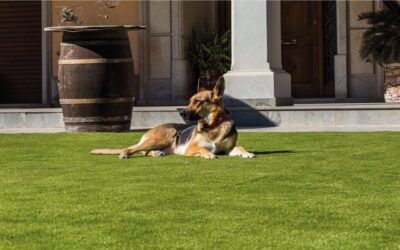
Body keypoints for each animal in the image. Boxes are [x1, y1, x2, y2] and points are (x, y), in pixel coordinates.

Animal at [89, 76, 255, 159]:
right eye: (189, 100)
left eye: (197, 101)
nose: (181, 112)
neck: (213, 125)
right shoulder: (191, 148)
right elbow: (203, 150)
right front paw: (209, 154)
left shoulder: (229, 148)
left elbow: (239, 147)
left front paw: (246, 152)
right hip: (163, 136)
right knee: (132, 149)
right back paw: (125, 153)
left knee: (144, 151)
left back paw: (156, 153)